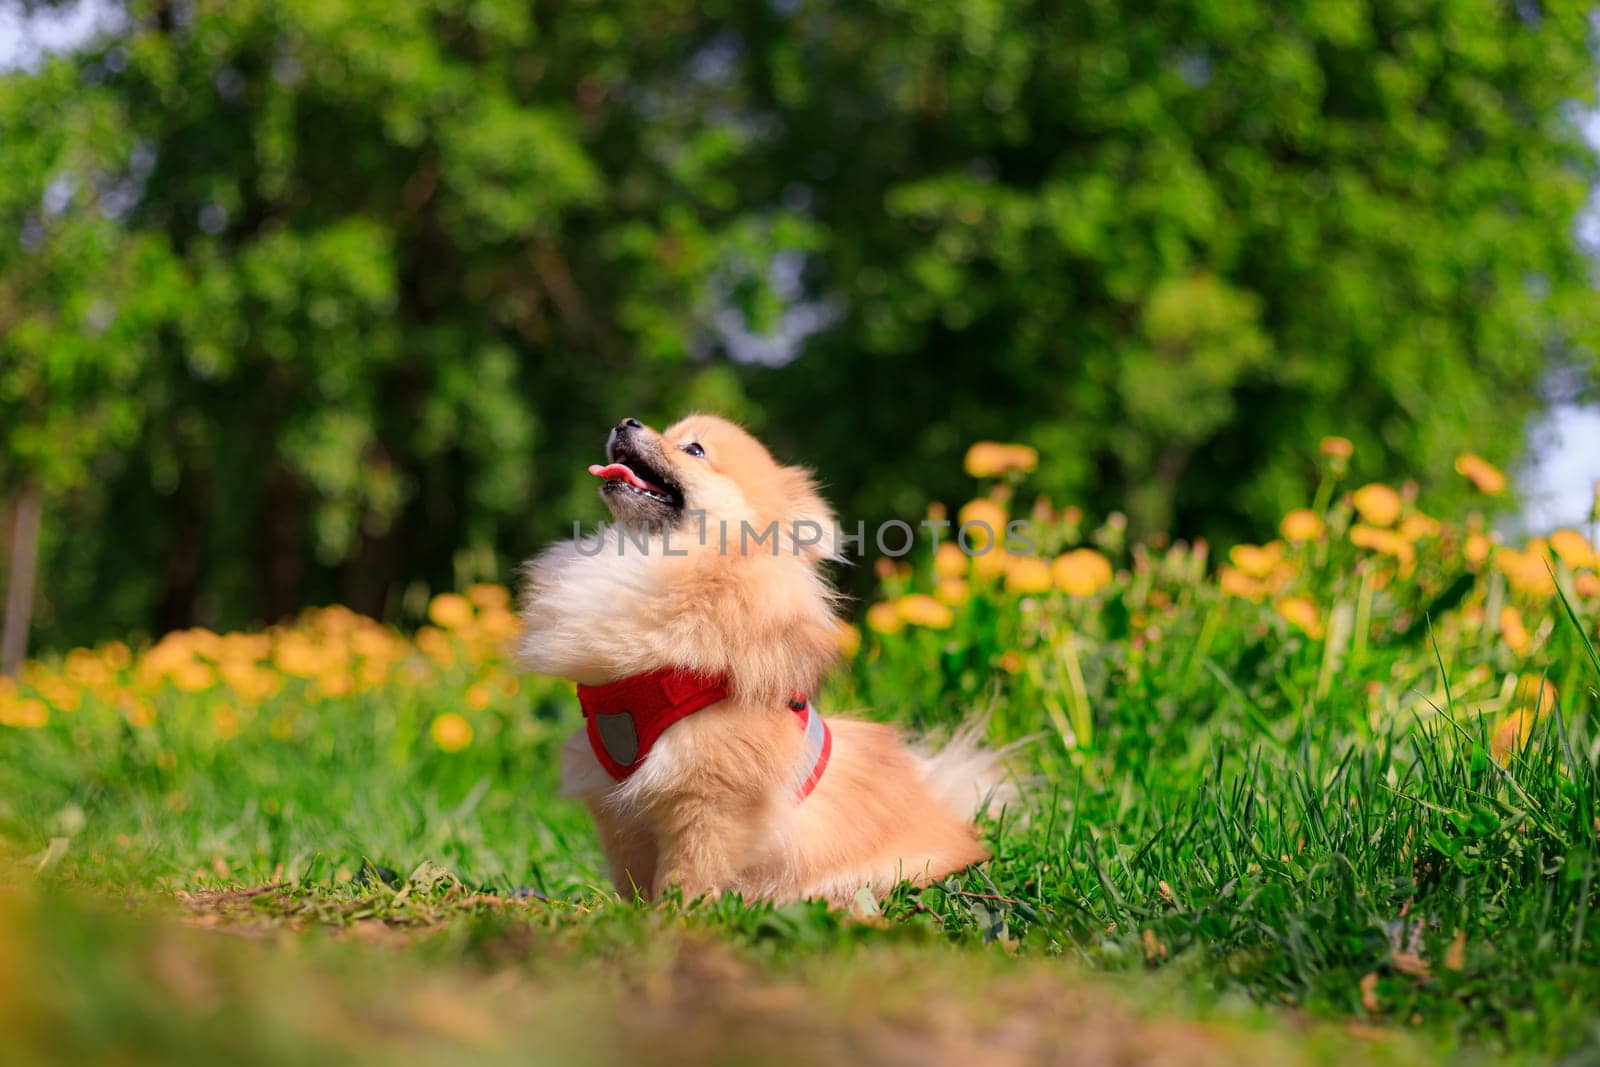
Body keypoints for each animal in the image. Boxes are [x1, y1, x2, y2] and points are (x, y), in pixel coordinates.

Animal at [518, 412, 1004, 908]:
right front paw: (633, 910)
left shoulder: (709, 795)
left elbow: (687, 873)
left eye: (694, 449)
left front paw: (674, 913)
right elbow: (632, 874)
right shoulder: (614, 801)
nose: (626, 421)